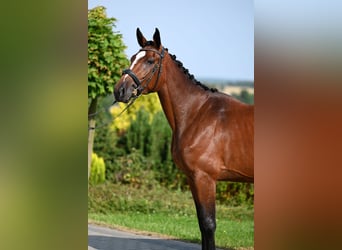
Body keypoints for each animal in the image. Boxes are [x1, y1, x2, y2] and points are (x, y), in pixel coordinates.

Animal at [113, 27, 252, 250]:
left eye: (150, 61)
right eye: (133, 58)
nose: (120, 90)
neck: (198, 113)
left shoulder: (205, 178)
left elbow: (208, 225)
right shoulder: (193, 178)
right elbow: (202, 225)